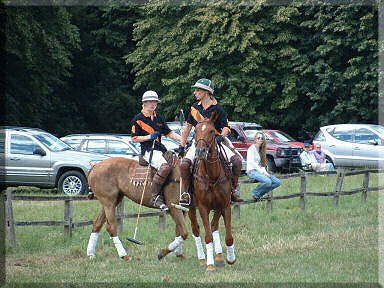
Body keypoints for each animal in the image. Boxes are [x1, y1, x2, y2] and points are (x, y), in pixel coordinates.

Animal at [188, 112, 236, 272]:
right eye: (195, 131)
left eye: (211, 131)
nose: (200, 152)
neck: (212, 176)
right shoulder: (203, 207)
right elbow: (207, 236)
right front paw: (210, 265)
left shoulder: (224, 205)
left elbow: (228, 236)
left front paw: (230, 258)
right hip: (190, 206)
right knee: (196, 229)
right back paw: (203, 259)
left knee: (214, 226)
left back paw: (220, 257)